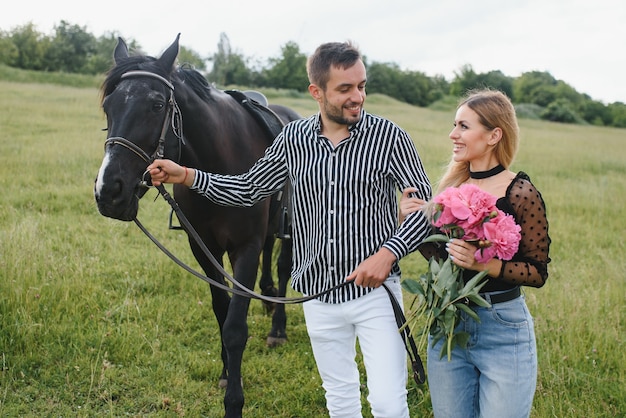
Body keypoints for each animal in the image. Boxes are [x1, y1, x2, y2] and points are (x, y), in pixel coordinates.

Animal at [93, 35, 298, 418]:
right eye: (108, 105)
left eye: (157, 104)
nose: (108, 191)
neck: (220, 161)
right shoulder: (204, 247)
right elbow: (221, 310)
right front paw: (227, 372)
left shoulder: (244, 249)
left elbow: (235, 326)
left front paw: (234, 401)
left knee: (282, 265)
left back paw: (277, 327)